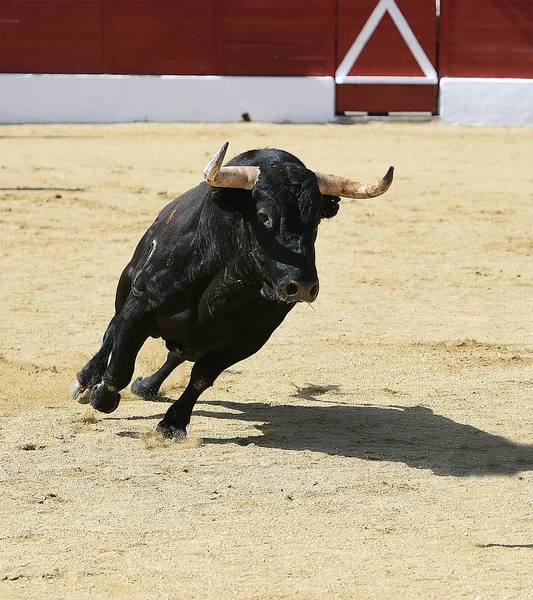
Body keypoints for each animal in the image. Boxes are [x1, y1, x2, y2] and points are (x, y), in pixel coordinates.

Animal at [70, 143, 392, 438]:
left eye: (316, 220)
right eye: (263, 215)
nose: (301, 286)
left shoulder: (249, 340)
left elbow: (202, 376)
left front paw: (172, 424)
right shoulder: (139, 307)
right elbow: (120, 362)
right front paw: (100, 395)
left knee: (178, 354)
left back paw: (146, 386)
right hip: (126, 284)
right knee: (112, 331)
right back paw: (87, 381)